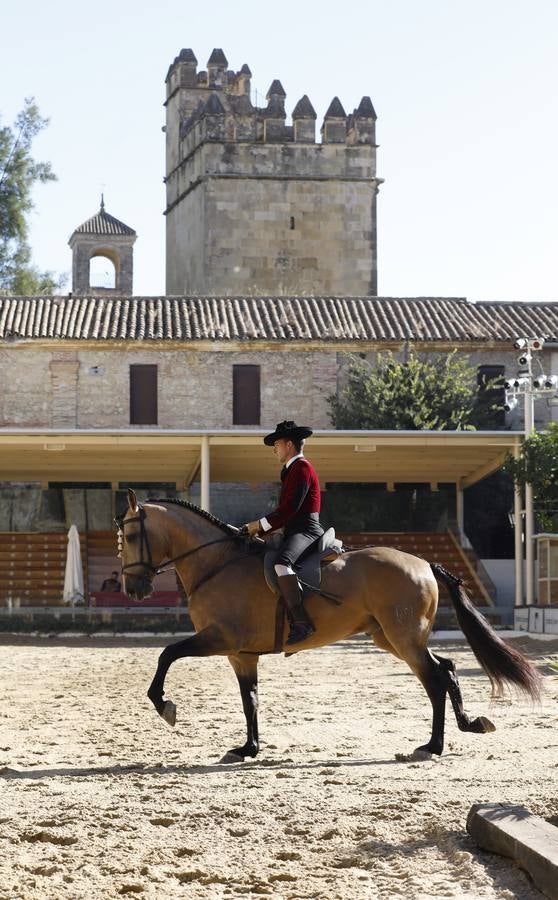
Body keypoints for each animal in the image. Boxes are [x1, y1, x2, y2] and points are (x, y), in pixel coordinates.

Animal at [118, 488, 544, 764]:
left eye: (132, 534)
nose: (132, 588)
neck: (217, 563)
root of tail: (423, 562)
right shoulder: (241, 655)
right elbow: (249, 699)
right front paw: (248, 749)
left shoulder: (220, 639)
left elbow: (167, 654)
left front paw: (164, 705)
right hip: (390, 638)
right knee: (448, 669)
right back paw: (468, 725)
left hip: (404, 639)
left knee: (436, 679)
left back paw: (432, 746)